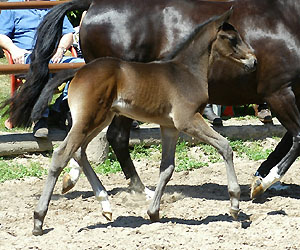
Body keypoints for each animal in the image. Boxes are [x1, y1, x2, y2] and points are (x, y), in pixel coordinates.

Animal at [3, 0, 300, 199]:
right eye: (232, 38)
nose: (253, 61)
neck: (287, 16)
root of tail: (93, 5)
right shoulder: (279, 92)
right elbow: (297, 138)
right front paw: (265, 182)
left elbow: (289, 138)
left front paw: (262, 176)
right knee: (114, 137)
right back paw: (139, 189)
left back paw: (74, 179)